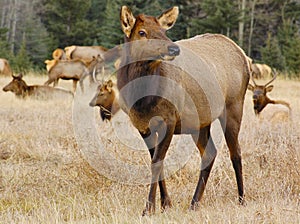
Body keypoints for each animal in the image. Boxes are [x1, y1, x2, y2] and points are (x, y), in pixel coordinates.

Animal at [103, 5, 251, 215]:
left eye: (163, 31)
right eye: (142, 32)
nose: (173, 48)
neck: (142, 98)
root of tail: (242, 54)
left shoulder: (169, 119)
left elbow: (157, 162)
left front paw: (149, 208)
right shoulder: (142, 125)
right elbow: (157, 161)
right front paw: (165, 203)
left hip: (234, 106)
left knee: (235, 152)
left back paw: (241, 199)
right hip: (200, 122)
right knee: (210, 153)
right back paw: (194, 202)